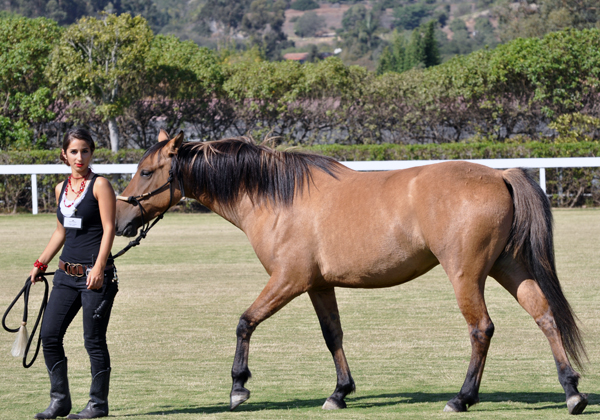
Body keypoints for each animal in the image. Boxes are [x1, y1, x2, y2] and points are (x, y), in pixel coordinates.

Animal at [115, 130, 588, 414]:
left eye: (146, 171)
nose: (120, 219)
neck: (276, 197)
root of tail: (500, 174)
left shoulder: (288, 281)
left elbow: (245, 322)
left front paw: (238, 386)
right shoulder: (318, 285)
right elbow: (333, 336)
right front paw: (340, 392)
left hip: (466, 275)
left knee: (481, 329)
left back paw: (462, 397)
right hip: (509, 267)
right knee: (544, 315)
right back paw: (572, 391)